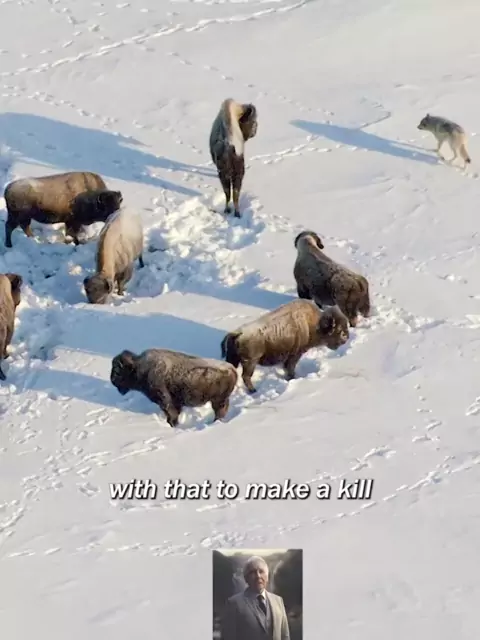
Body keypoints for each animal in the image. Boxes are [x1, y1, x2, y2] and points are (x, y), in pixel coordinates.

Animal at [110, 348, 238, 427]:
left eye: (117, 370)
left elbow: (171, 413)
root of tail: (232, 369)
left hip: (218, 400)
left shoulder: (164, 399)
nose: (112, 380)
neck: (140, 367)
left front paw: (172, 424)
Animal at [220, 299, 349, 393]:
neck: (314, 324)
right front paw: (292, 378)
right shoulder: (295, 354)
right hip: (251, 361)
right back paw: (253, 391)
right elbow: (290, 367)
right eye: (339, 330)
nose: (346, 337)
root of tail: (237, 333)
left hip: (234, 359)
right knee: (246, 376)